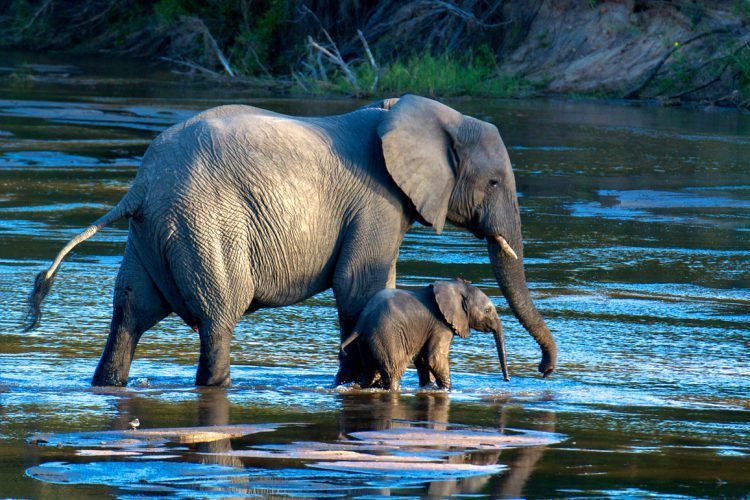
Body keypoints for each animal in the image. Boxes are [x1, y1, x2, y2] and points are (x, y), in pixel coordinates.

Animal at [342, 278, 512, 390]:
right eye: (487, 310)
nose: (507, 379)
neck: (454, 286)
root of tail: (362, 321)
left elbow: (423, 359)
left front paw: (429, 387)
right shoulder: (441, 326)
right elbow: (434, 358)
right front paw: (447, 390)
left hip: (366, 341)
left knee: (369, 371)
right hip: (386, 335)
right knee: (393, 371)